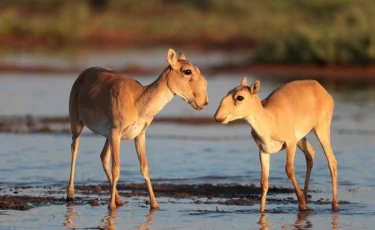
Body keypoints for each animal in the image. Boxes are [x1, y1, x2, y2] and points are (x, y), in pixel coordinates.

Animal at [67, 49, 209, 210]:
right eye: (187, 71)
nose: (204, 101)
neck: (138, 99)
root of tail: (84, 73)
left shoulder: (139, 135)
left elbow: (144, 168)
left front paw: (154, 204)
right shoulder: (116, 132)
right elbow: (116, 168)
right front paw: (111, 206)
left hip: (107, 136)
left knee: (103, 157)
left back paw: (118, 198)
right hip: (77, 123)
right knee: (75, 148)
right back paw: (70, 194)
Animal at [214, 77, 338, 212]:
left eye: (240, 97)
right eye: (228, 93)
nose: (217, 117)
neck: (270, 120)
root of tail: (318, 86)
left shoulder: (290, 143)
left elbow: (289, 170)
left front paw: (301, 203)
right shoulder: (263, 151)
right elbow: (264, 182)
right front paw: (262, 211)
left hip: (321, 130)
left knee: (332, 162)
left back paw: (334, 205)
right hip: (301, 139)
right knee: (311, 153)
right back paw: (306, 198)